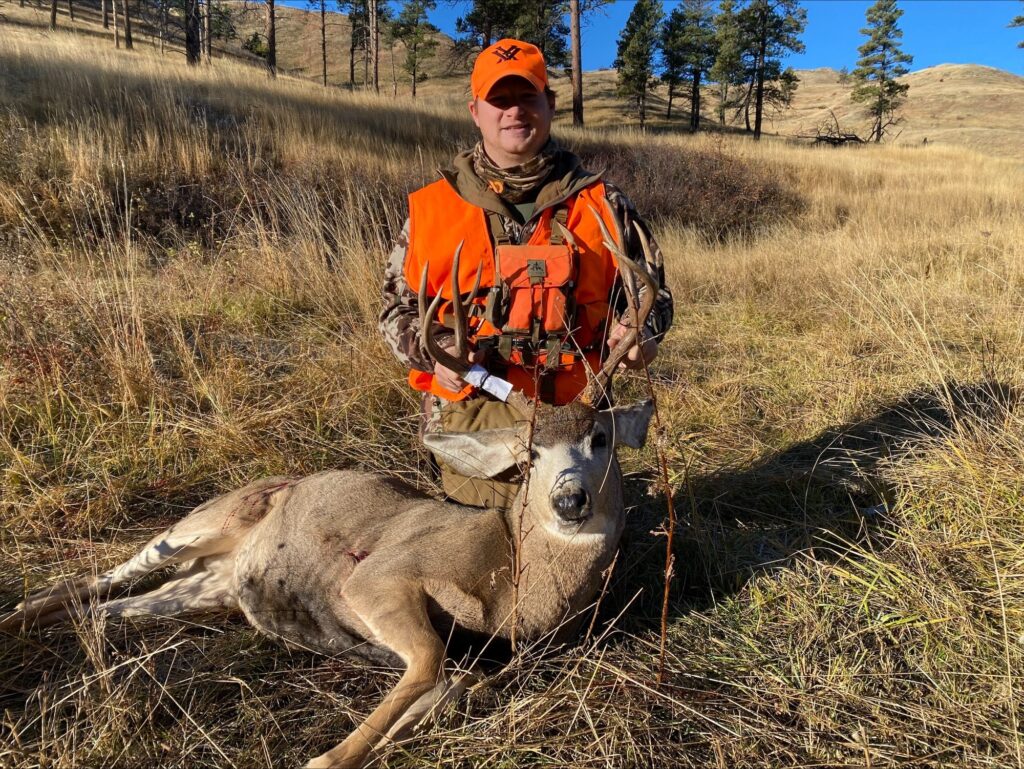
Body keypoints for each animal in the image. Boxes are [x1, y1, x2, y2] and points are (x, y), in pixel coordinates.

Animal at [0, 208, 659, 768]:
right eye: (528, 455)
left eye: (600, 437)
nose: (569, 500)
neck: (513, 578)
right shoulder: (380, 574)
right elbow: (429, 662)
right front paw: (330, 757)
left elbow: (457, 683)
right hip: (209, 517)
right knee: (88, 581)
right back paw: (16, 617)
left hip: (211, 588)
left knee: (110, 608)